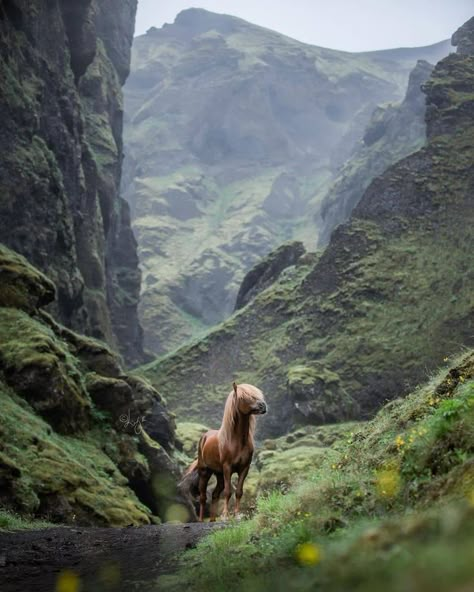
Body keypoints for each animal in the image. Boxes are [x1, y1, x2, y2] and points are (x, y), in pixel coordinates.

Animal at [184, 382, 268, 520]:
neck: (236, 441)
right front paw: (225, 515)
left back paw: (212, 520)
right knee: (203, 497)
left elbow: (239, 492)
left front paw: (237, 515)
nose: (263, 405)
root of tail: (204, 436)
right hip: (205, 472)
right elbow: (228, 492)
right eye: (242, 397)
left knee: (215, 494)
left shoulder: (244, 468)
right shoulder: (227, 468)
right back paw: (201, 520)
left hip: (219, 474)